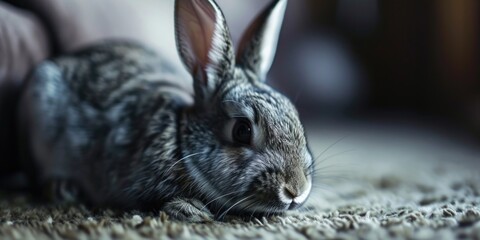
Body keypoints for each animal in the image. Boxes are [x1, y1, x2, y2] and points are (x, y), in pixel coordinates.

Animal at [16, 0, 314, 222]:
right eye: (242, 130)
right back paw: (62, 188)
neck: (182, 142)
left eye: (296, 116)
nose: (296, 190)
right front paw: (190, 210)